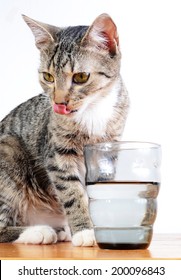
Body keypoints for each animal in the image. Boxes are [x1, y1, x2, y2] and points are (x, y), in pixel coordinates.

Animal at [0, 13, 129, 245]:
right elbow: (71, 192)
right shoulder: (58, 153)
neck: (93, 111)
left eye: (81, 77)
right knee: (1, 227)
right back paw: (39, 232)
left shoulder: (108, 151)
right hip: (8, 153)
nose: (59, 103)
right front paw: (85, 230)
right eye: (48, 77)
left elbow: (99, 190)